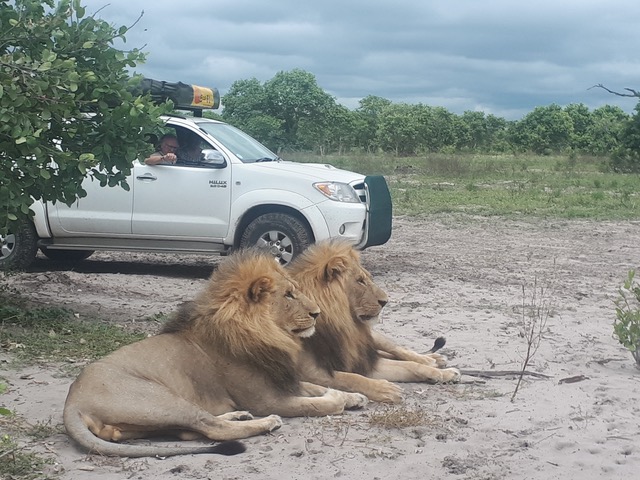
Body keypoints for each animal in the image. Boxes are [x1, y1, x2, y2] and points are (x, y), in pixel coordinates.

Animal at [63, 248, 370, 458]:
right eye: (288, 295)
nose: (317, 313)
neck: (269, 335)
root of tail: (72, 402)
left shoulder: (282, 379)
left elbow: (316, 387)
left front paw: (354, 396)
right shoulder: (267, 398)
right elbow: (316, 403)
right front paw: (338, 400)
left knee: (190, 430)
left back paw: (238, 415)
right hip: (161, 399)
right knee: (209, 427)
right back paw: (264, 423)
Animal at [288, 238, 460, 404]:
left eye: (368, 278)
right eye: (360, 281)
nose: (385, 301)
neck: (343, 325)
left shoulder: (363, 360)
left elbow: (410, 365)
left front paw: (441, 373)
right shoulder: (310, 373)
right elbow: (351, 378)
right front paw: (385, 389)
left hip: (375, 338)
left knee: (397, 350)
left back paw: (433, 361)